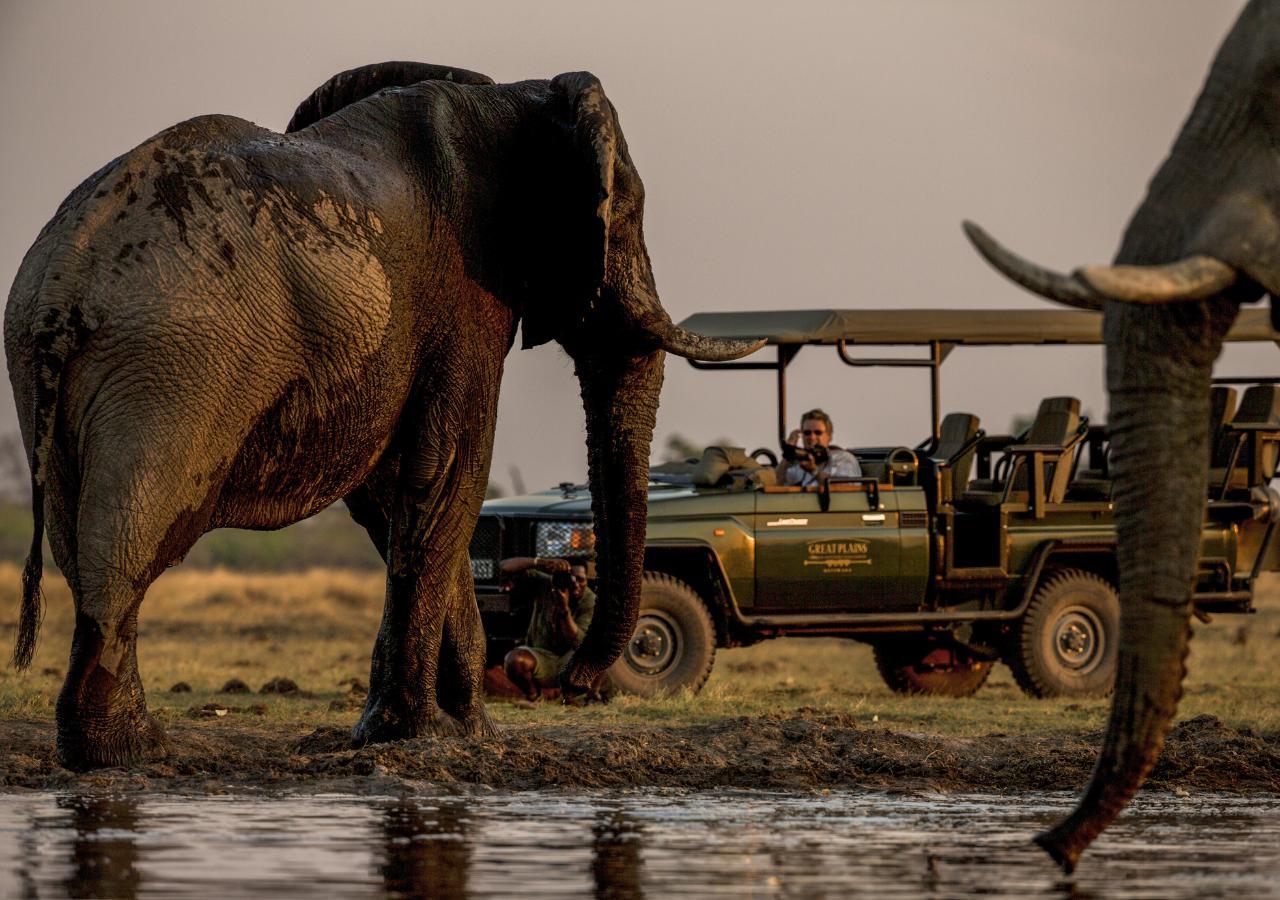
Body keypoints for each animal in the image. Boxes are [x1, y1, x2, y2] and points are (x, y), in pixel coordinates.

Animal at [3, 60, 761, 771]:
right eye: (624, 218)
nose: (571, 678)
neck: (515, 95)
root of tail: (61, 282)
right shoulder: (464, 293)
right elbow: (450, 472)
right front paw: (423, 733)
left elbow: (394, 495)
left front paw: (461, 733)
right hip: (172, 367)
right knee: (125, 547)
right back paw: (129, 750)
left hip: (57, 373)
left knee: (79, 545)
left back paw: (119, 747)